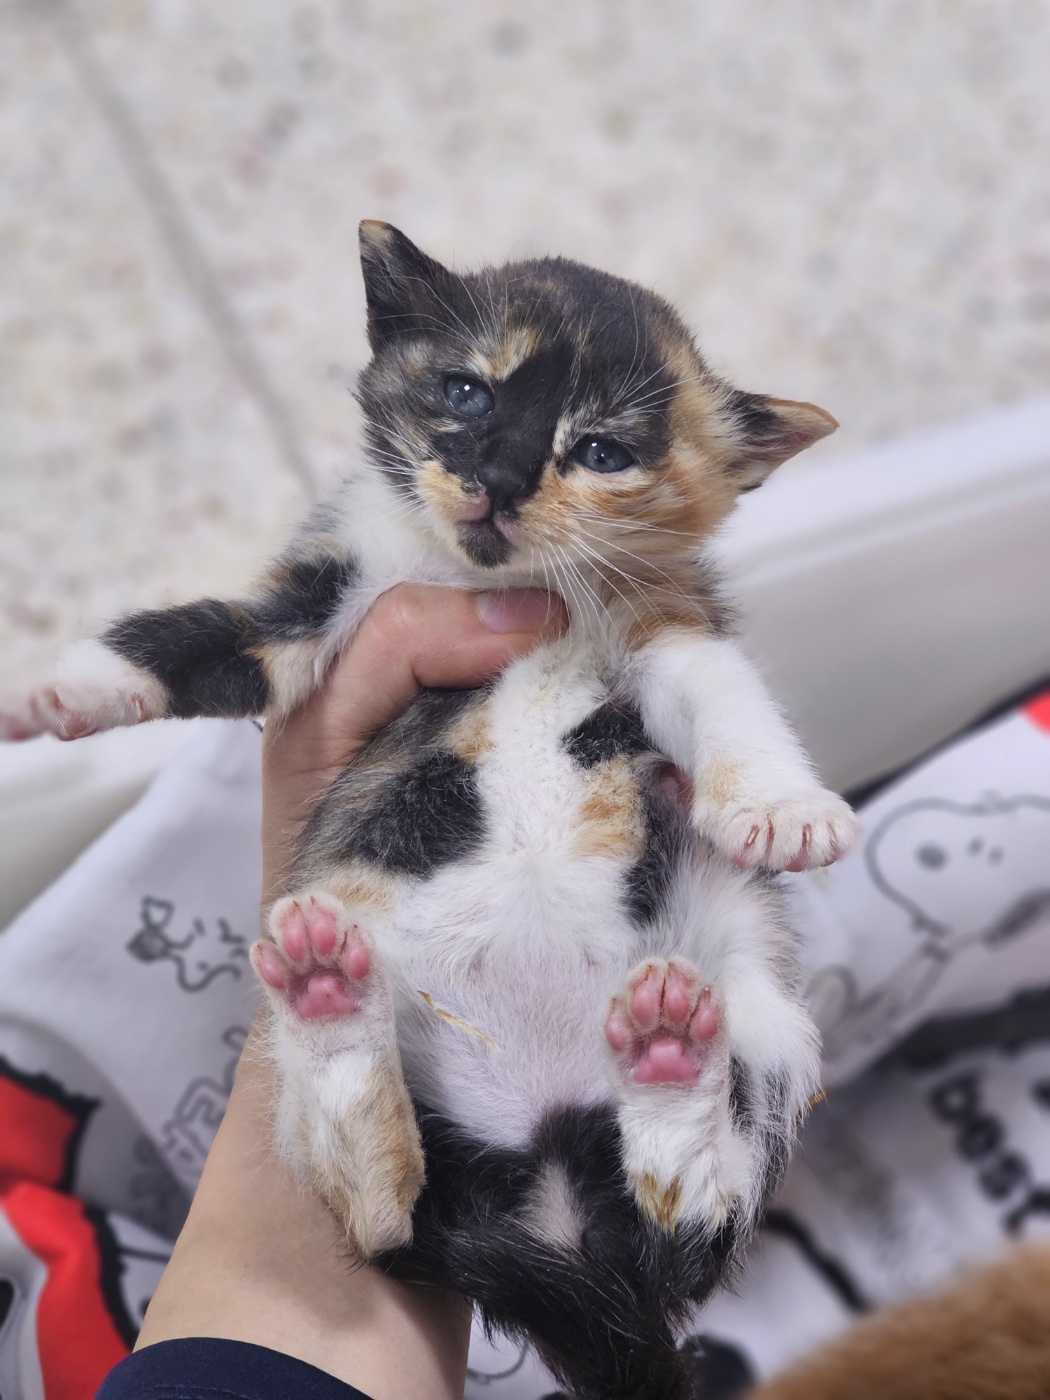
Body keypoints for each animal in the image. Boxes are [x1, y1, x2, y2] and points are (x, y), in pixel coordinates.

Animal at [4, 224, 856, 1400]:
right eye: (465, 390)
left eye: (602, 450)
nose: (494, 482)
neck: (481, 577)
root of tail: (548, 1205)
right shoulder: (325, 598)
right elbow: (206, 634)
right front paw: (61, 689)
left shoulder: (669, 619)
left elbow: (726, 697)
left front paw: (782, 810)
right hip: (347, 1068)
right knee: (383, 1217)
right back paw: (333, 998)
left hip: (763, 1014)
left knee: (687, 1221)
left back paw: (670, 1061)